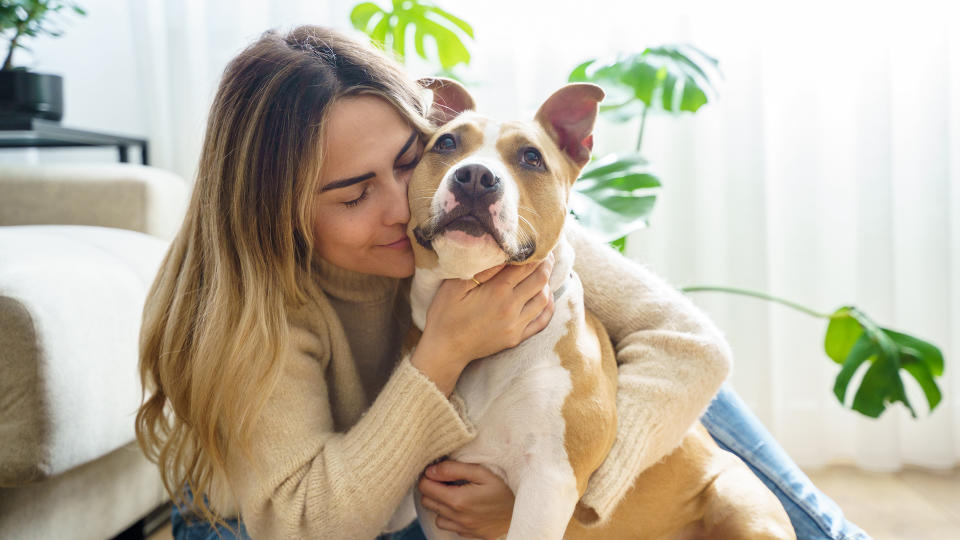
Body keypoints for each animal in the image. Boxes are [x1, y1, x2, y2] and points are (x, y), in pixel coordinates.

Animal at [400, 77, 796, 540]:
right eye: (446, 143)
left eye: (531, 157)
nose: (476, 177)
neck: (487, 351)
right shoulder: (435, 495)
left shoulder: (549, 481)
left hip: (739, 505)